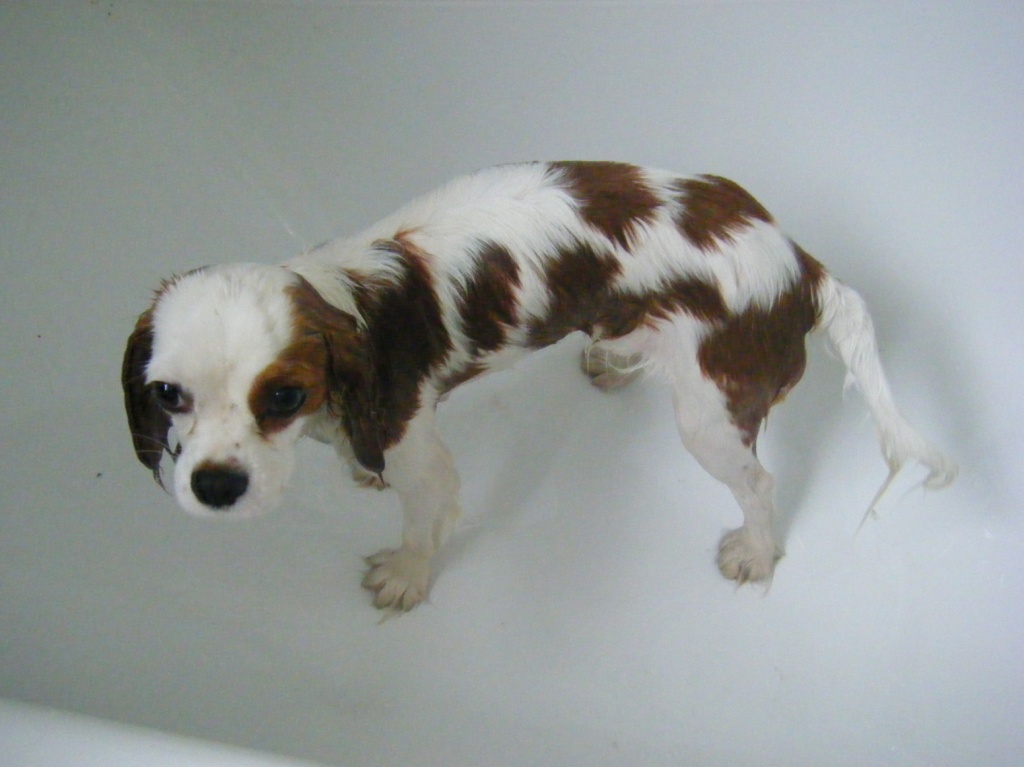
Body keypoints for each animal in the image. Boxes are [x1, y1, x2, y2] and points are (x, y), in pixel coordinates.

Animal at [122, 161, 956, 610]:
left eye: (283, 397)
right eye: (168, 394)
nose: (217, 485)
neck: (345, 296)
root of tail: (803, 266)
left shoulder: (419, 447)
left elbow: (423, 519)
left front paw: (406, 576)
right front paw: (362, 471)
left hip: (712, 414)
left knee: (757, 482)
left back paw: (754, 549)